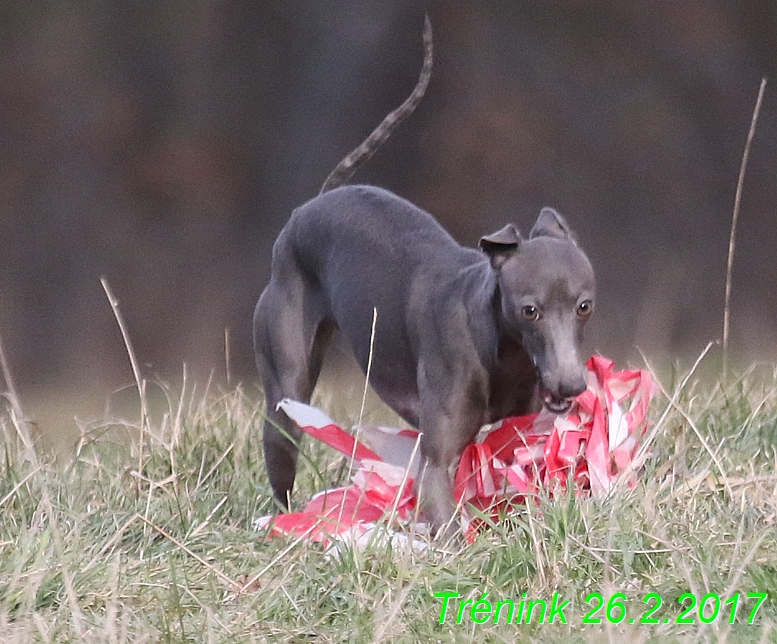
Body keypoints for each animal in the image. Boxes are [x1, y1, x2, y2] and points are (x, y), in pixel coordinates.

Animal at [255, 18, 596, 532]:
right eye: (529, 310)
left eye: (584, 306)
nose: (570, 386)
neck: (499, 346)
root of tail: (312, 205)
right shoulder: (437, 462)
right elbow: (447, 515)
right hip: (286, 391)